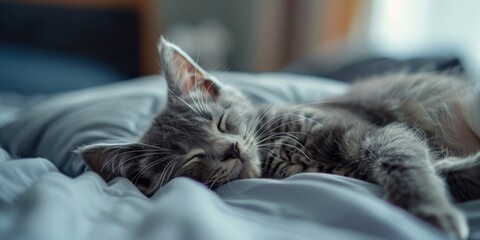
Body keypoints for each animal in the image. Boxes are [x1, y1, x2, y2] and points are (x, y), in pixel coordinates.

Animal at [80, 38, 478, 239]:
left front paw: (432, 210)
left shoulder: (374, 130)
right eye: (193, 158)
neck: (278, 150)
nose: (231, 149)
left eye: (221, 123)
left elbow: (402, 157)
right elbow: (431, 166)